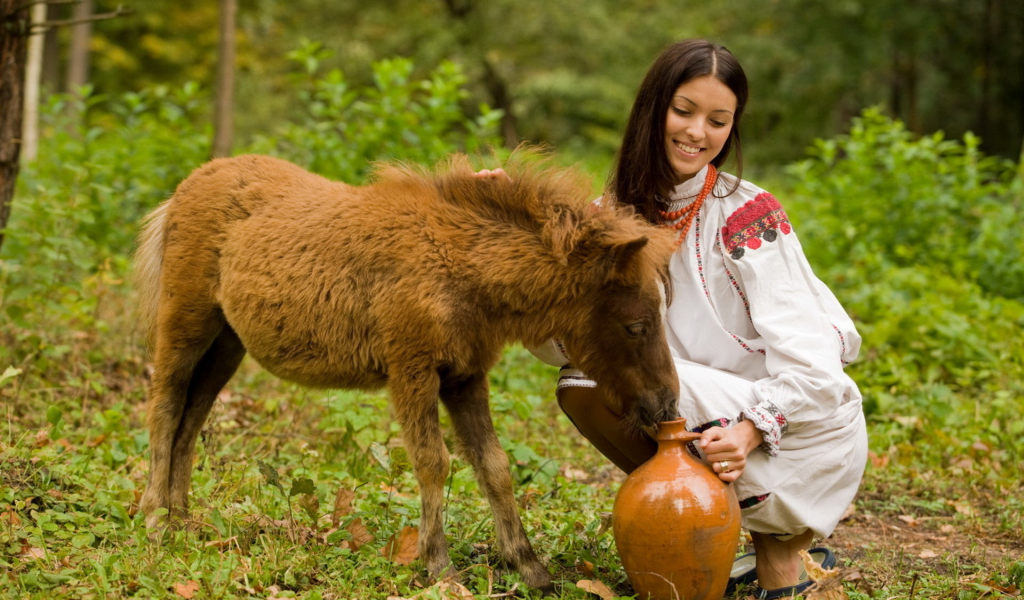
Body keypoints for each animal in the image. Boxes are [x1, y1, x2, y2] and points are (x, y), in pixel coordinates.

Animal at [136, 151, 679, 585]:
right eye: (636, 324)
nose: (666, 403)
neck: (459, 268)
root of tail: (187, 186)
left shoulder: (465, 377)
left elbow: (495, 466)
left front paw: (529, 567)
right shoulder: (411, 370)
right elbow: (434, 461)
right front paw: (438, 565)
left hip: (228, 343)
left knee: (191, 418)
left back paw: (182, 519)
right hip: (186, 323)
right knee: (164, 408)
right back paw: (154, 521)